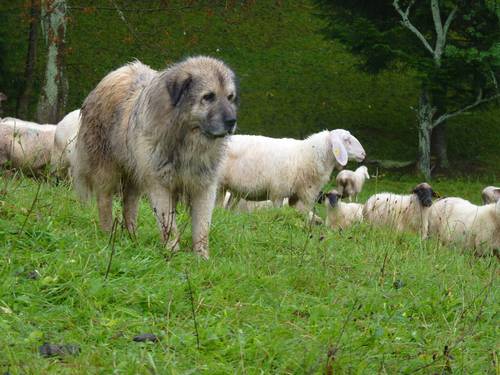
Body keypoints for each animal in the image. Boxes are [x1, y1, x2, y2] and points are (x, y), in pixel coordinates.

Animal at [73, 57, 239, 260]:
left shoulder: (203, 186)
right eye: (208, 96)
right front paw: (172, 252)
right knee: (104, 201)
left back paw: (132, 239)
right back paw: (108, 234)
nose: (232, 121)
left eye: (230, 97)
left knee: (129, 206)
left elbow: (202, 227)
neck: (187, 140)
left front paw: (201, 258)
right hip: (107, 170)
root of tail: (115, 73)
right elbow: (169, 223)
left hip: (135, 176)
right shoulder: (160, 184)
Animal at [221, 129, 366, 219]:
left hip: (234, 191)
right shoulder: (278, 193)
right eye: (347, 140)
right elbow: (278, 211)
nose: (363, 154)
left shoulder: (299, 197)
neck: (308, 154)